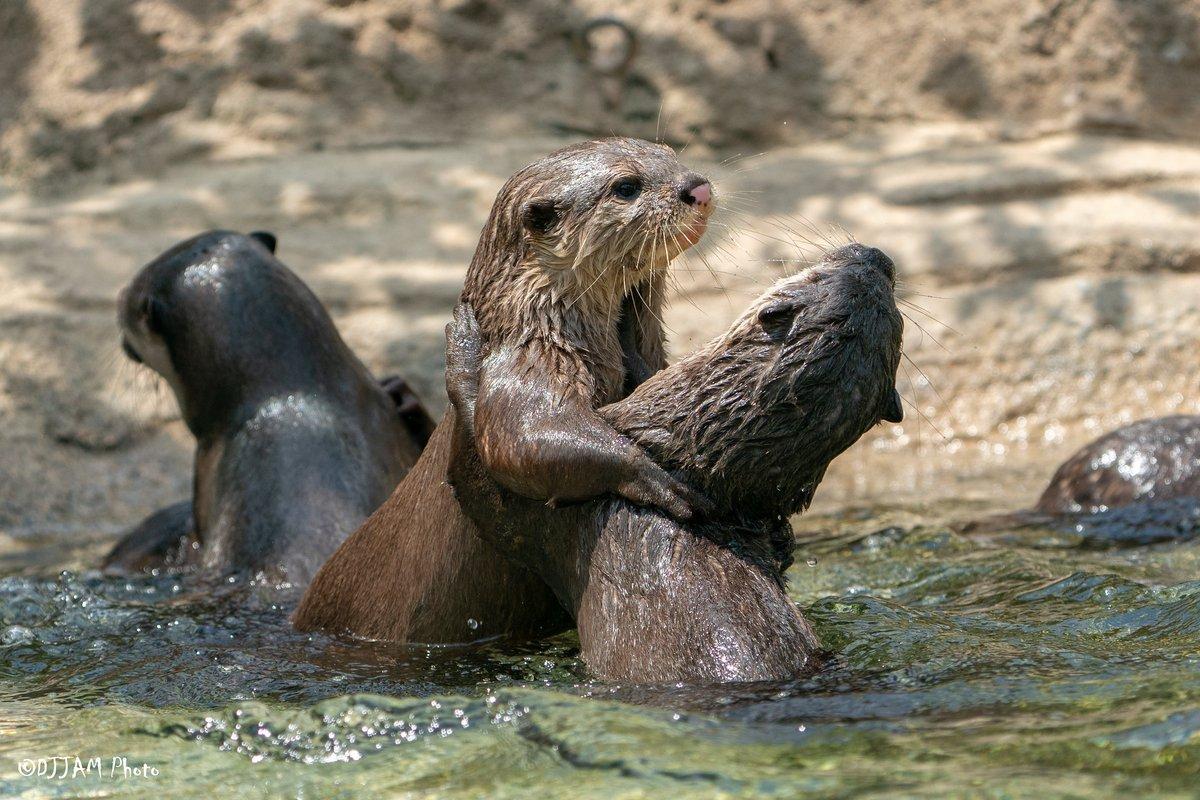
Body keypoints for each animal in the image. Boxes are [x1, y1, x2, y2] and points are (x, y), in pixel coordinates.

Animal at [294, 138, 715, 642]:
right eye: (626, 186)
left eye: (671, 153)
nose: (698, 187)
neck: (544, 319)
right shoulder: (523, 358)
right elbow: (516, 435)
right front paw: (660, 480)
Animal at [444, 243, 906, 682]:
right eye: (897, 315)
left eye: (817, 275)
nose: (879, 257)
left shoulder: (550, 510)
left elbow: (484, 462)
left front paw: (464, 344)